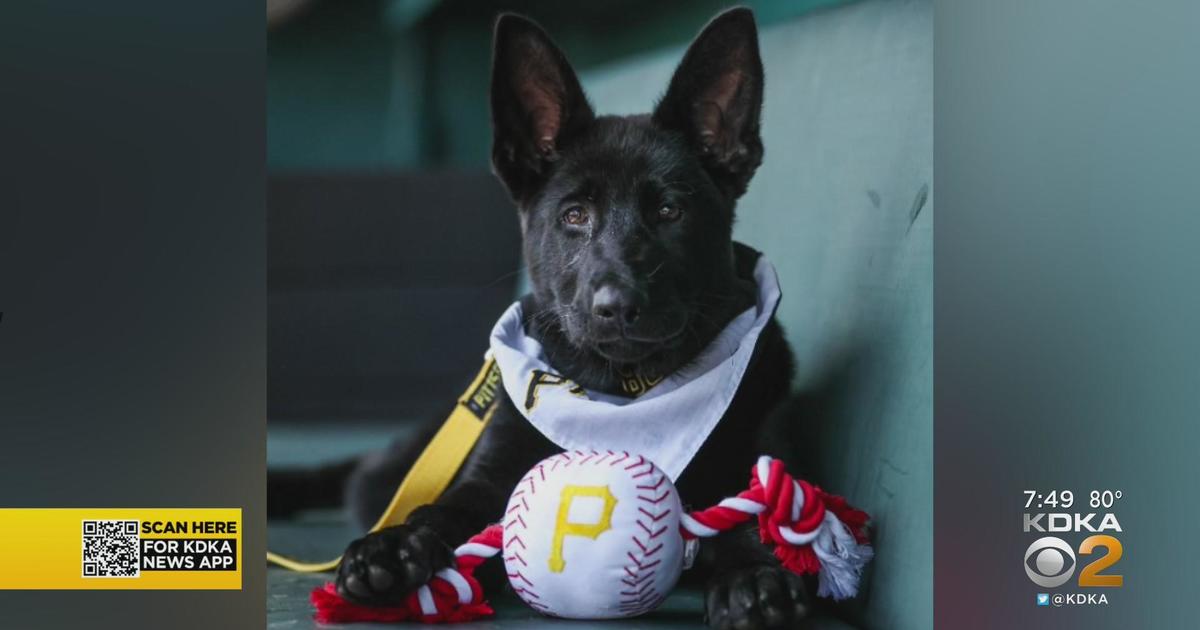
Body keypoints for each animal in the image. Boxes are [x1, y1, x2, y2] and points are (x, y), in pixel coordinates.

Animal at [274, 7, 811, 624]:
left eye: (670, 211)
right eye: (574, 215)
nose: (617, 307)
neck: (620, 393)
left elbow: (751, 520)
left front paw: (756, 577)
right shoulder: (487, 475)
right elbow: (441, 510)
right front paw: (393, 549)